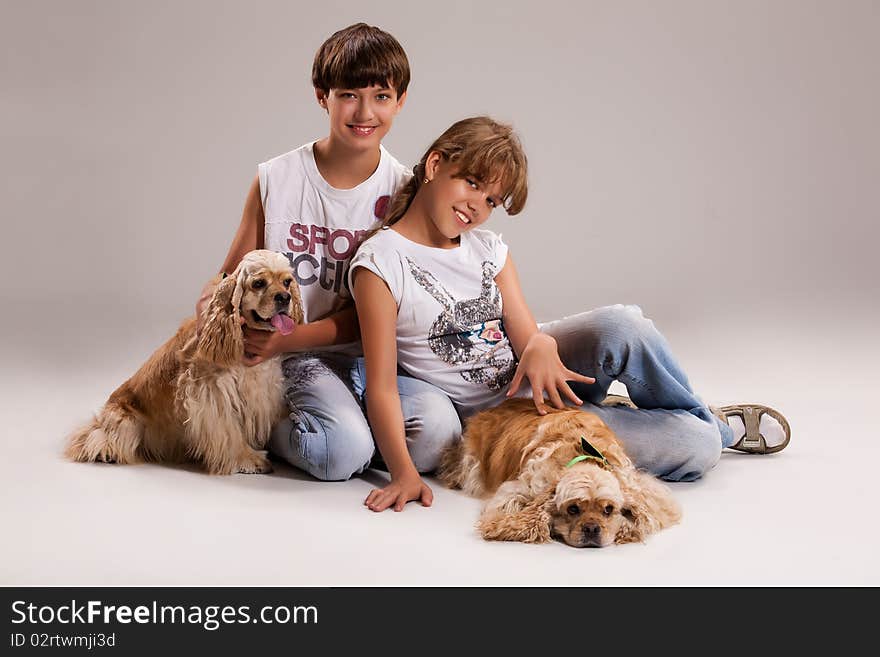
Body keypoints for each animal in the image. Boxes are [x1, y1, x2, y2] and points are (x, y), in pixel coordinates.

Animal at [65, 250, 302, 472]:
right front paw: (247, 459)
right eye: (258, 283)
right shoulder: (211, 393)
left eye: (287, 281)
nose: (284, 297)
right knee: (97, 438)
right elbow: (229, 431)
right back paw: (106, 453)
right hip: (127, 422)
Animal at [438, 398, 680, 544]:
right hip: (472, 465)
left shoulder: (640, 486)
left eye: (608, 510)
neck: (581, 455)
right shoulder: (514, 491)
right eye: (573, 509)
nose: (592, 529)